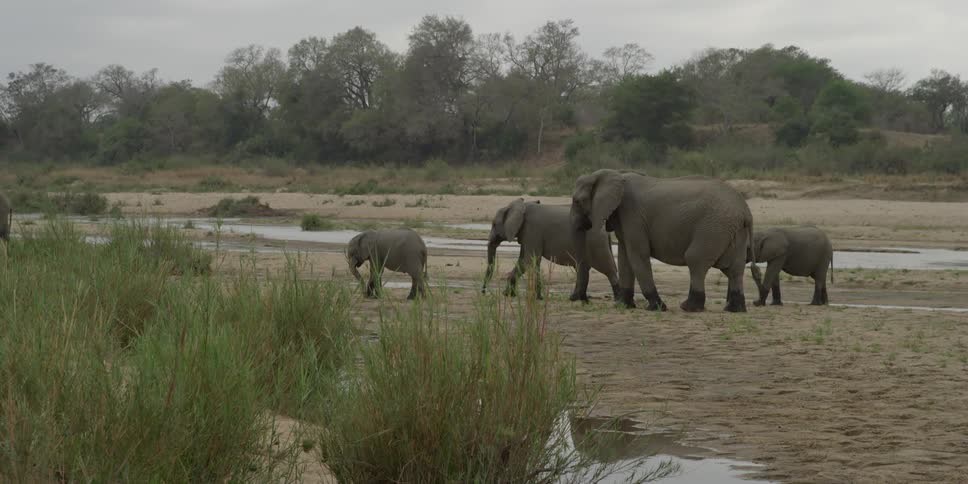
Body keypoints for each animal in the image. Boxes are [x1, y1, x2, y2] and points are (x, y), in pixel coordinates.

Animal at [483, 198, 620, 301]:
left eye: (494, 224)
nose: (483, 292)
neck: (521, 205)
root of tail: (605, 231)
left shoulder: (532, 231)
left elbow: (528, 261)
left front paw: (535, 298)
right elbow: (526, 261)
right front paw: (510, 295)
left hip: (596, 243)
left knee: (607, 268)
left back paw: (618, 300)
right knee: (582, 268)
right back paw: (576, 298)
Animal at [570, 169, 755, 313]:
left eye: (577, 201)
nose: (577, 299)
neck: (614, 175)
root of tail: (745, 211)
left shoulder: (633, 216)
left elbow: (637, 256)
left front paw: (656, 308)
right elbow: (624, 259)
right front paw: (623, 306)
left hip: (713, 227)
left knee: (695, 259)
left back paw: (688, 307)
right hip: (734, 231)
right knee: (734, 268)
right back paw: (734, 309)